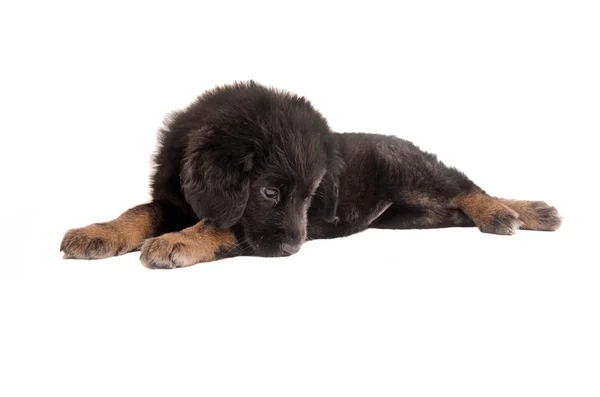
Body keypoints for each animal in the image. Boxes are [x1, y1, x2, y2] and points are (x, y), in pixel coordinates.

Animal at [61, 80, 564, 268]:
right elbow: (137, 212)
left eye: (311, 196)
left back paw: (510, 212)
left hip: (412, 171)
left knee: (466, 188)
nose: (293, 249)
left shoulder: (244, 230)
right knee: (456, 207)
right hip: (413, 216)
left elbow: (219, 225)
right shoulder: (171, 199)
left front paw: (177, 241)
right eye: (269, 192)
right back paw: (527, 212)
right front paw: (97, 232)